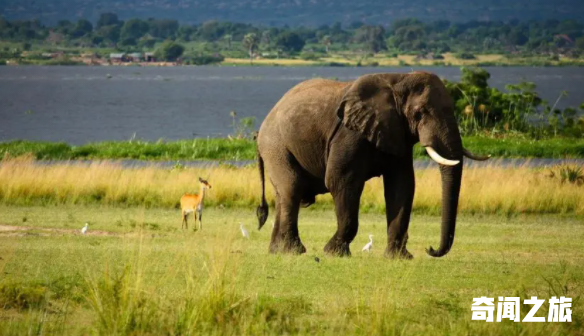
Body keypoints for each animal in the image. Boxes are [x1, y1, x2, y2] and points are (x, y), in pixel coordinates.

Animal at [256, 72, 488, 258]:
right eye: (420, 113)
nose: (430, 249)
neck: (398, 80)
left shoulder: (397, 132)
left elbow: (401, 186)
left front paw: (399, 257)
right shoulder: (349, 134)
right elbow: (341, 181)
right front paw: (334, 252)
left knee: (282, 194)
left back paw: (276, 251)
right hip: (275, 145)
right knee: (292, 188)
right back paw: (293, 251)